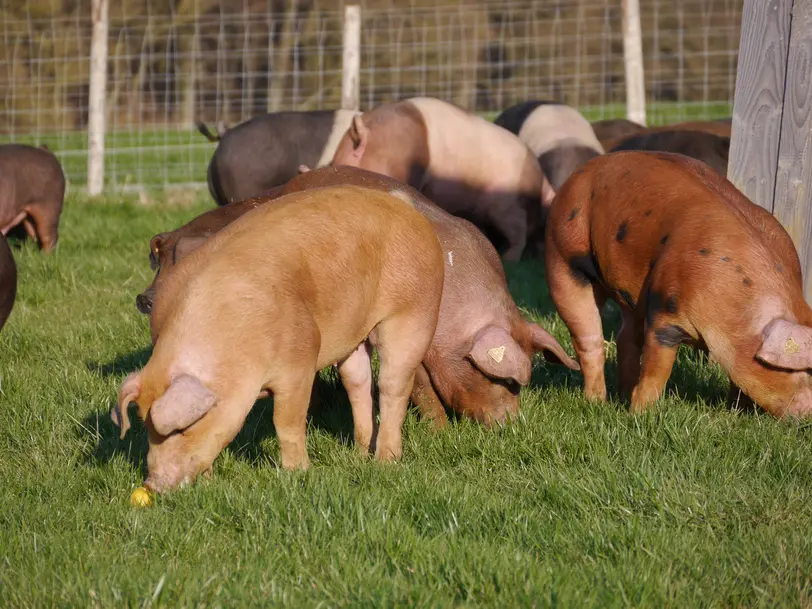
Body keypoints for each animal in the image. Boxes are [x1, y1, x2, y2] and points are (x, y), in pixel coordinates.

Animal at [111, 185, 444, 490]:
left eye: (182, 429)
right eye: (146, 427)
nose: (152, 485)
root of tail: (403, 205)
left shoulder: (299, 360)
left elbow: (287, 422)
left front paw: (299, 475)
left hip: (414, 313)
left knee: (393, 386)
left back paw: (385, 462)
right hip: (354, 336)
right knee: (358, 382)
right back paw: (360, 455)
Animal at [544, 151, 812, 418]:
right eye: (807, 372)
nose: (806, 415)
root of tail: (580, 173)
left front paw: (737, 412)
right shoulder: (666, 311)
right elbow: (656, 372)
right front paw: (641, 416)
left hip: (632, 297)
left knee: (625, 338)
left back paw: (622, 397)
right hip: (563, 257)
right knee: (590, 340)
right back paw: (597, 402)